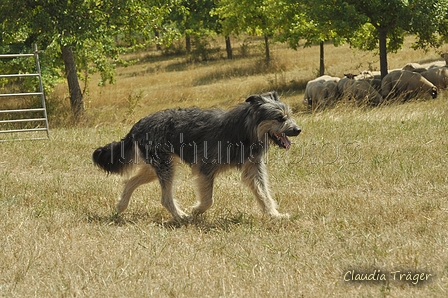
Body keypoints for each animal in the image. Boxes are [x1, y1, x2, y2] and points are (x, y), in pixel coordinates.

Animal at [92, 92, 300, 220]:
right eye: (280, 118)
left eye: (290, 115)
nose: (298, 130)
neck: (244, 130)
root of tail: (137, 125)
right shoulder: (205, 168)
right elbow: (208, 200)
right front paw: (196, 210)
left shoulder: (253, 170)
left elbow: (264, 194)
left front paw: (274, 215)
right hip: (166, 167)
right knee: (165, 198)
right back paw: (181, 217)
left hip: (156, 167)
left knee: (130, 181)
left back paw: (121, 206)